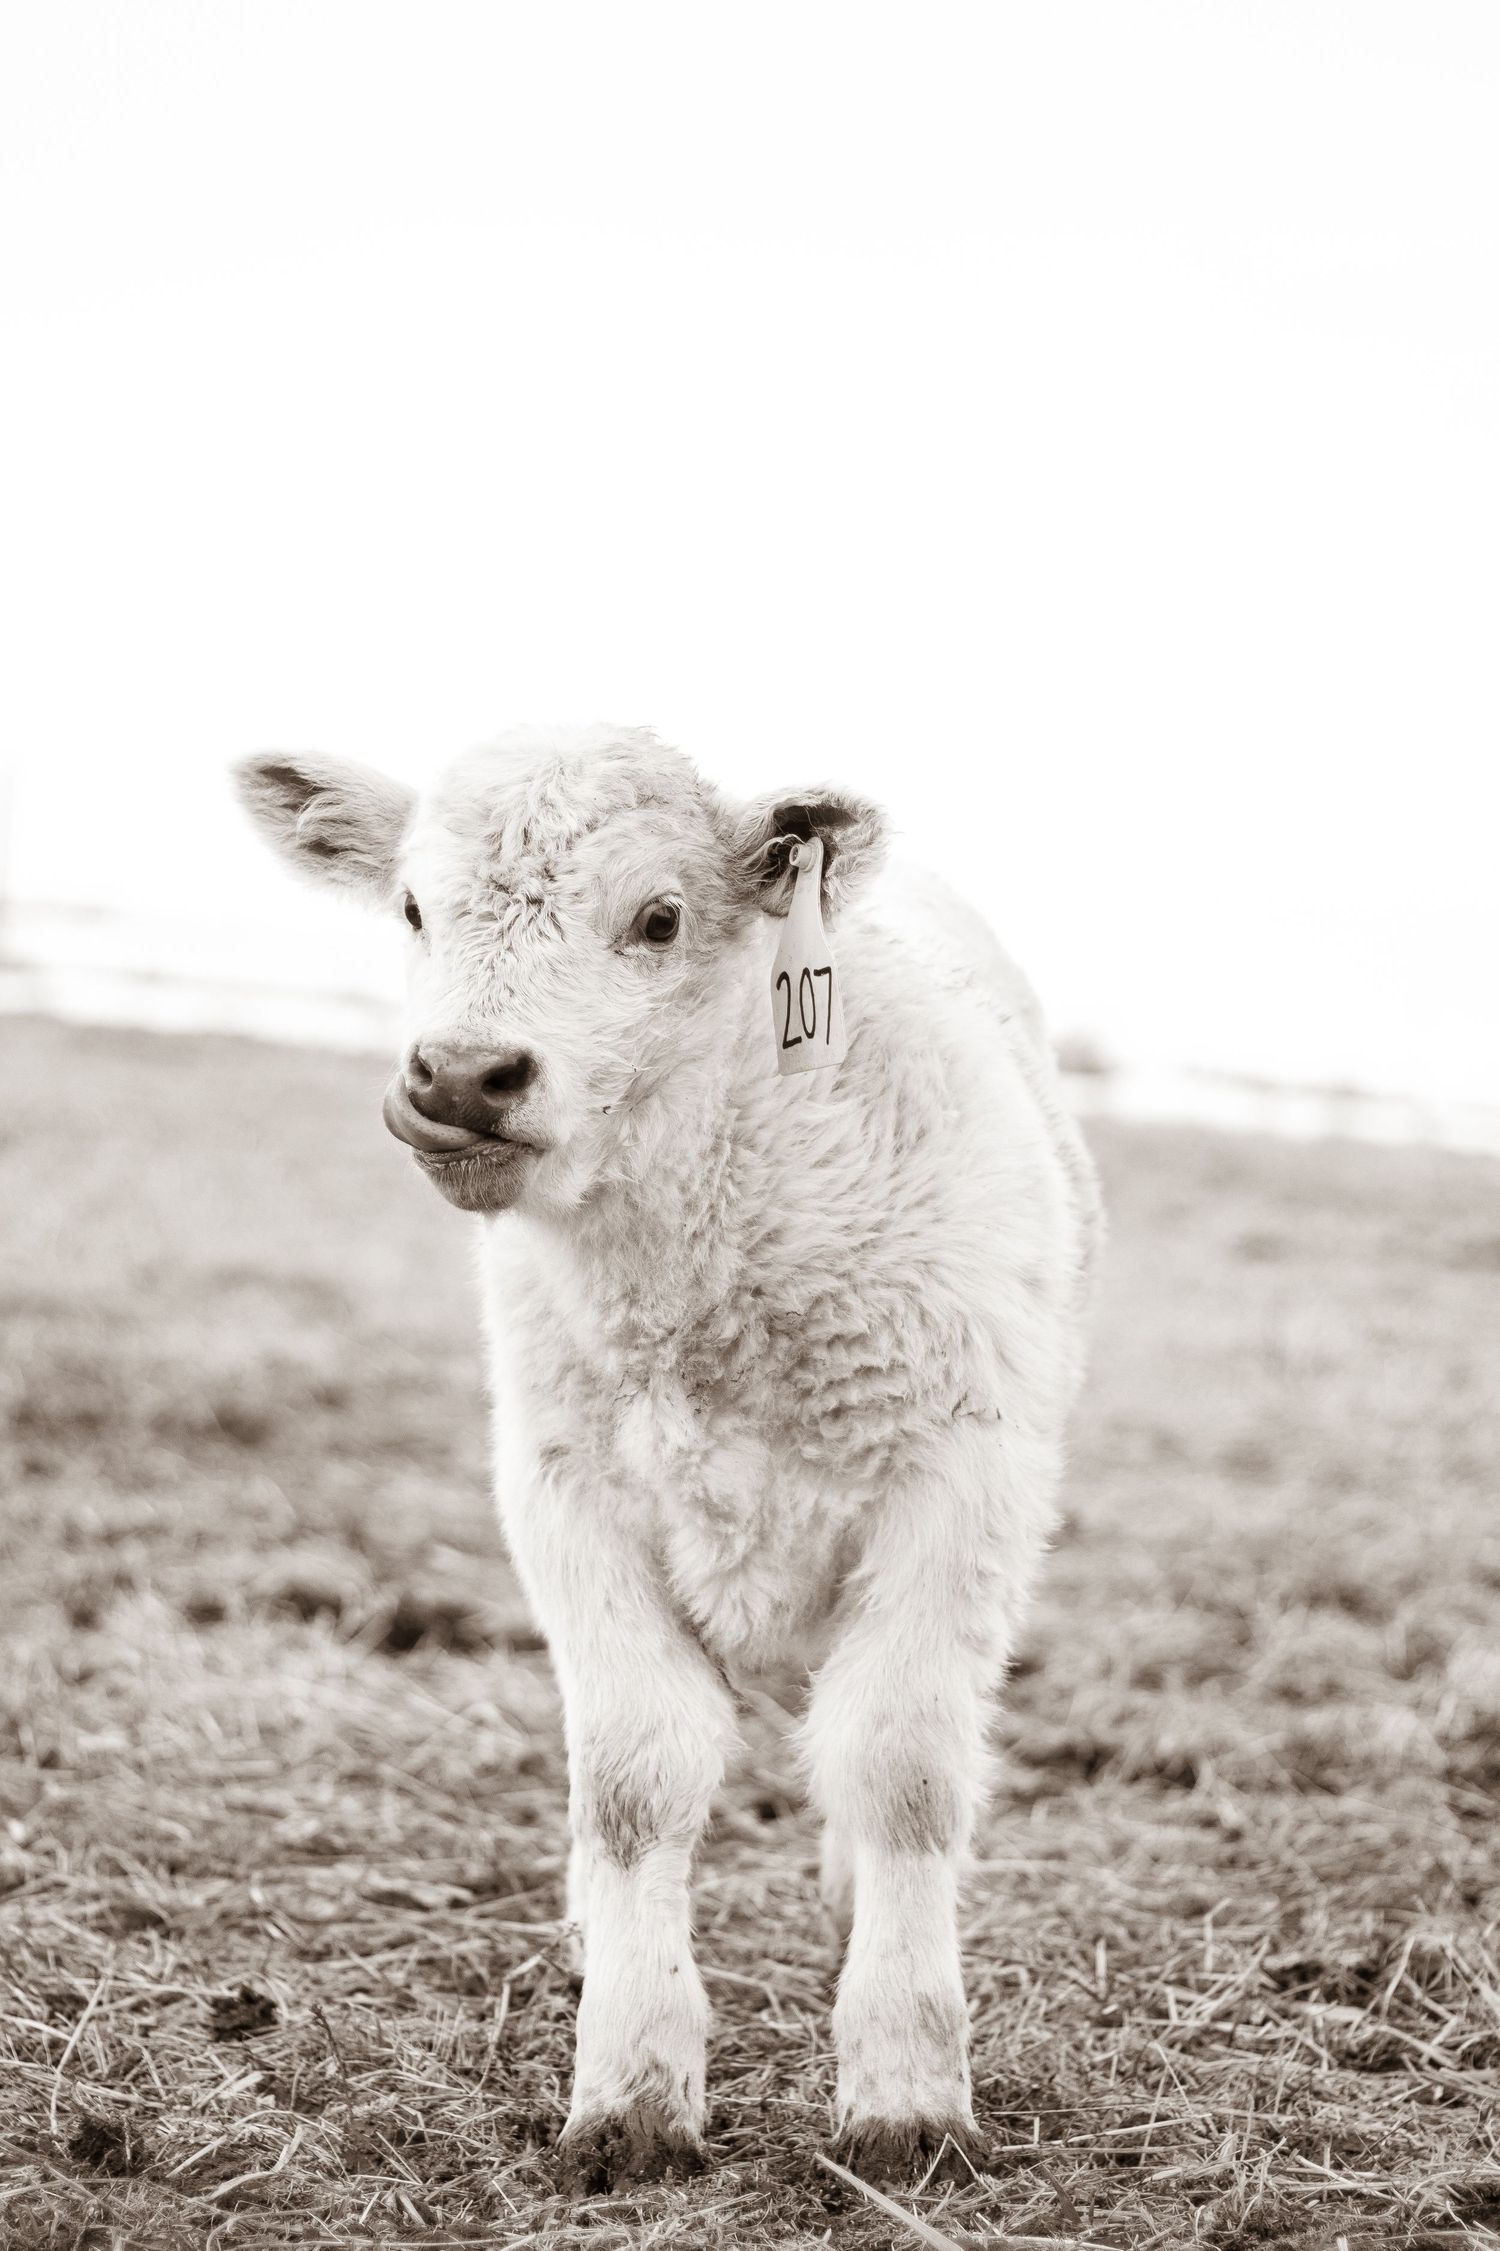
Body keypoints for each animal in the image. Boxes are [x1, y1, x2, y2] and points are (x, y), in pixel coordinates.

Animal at [235, 723, 1101, 2190]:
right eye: (410, 908)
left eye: (659, 918)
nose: (461, 1075)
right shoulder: (565, 1491)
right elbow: (637, 1779)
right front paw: (633, 2087)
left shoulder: (960, 1486)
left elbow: (904, 1770)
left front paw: (908, 2090)